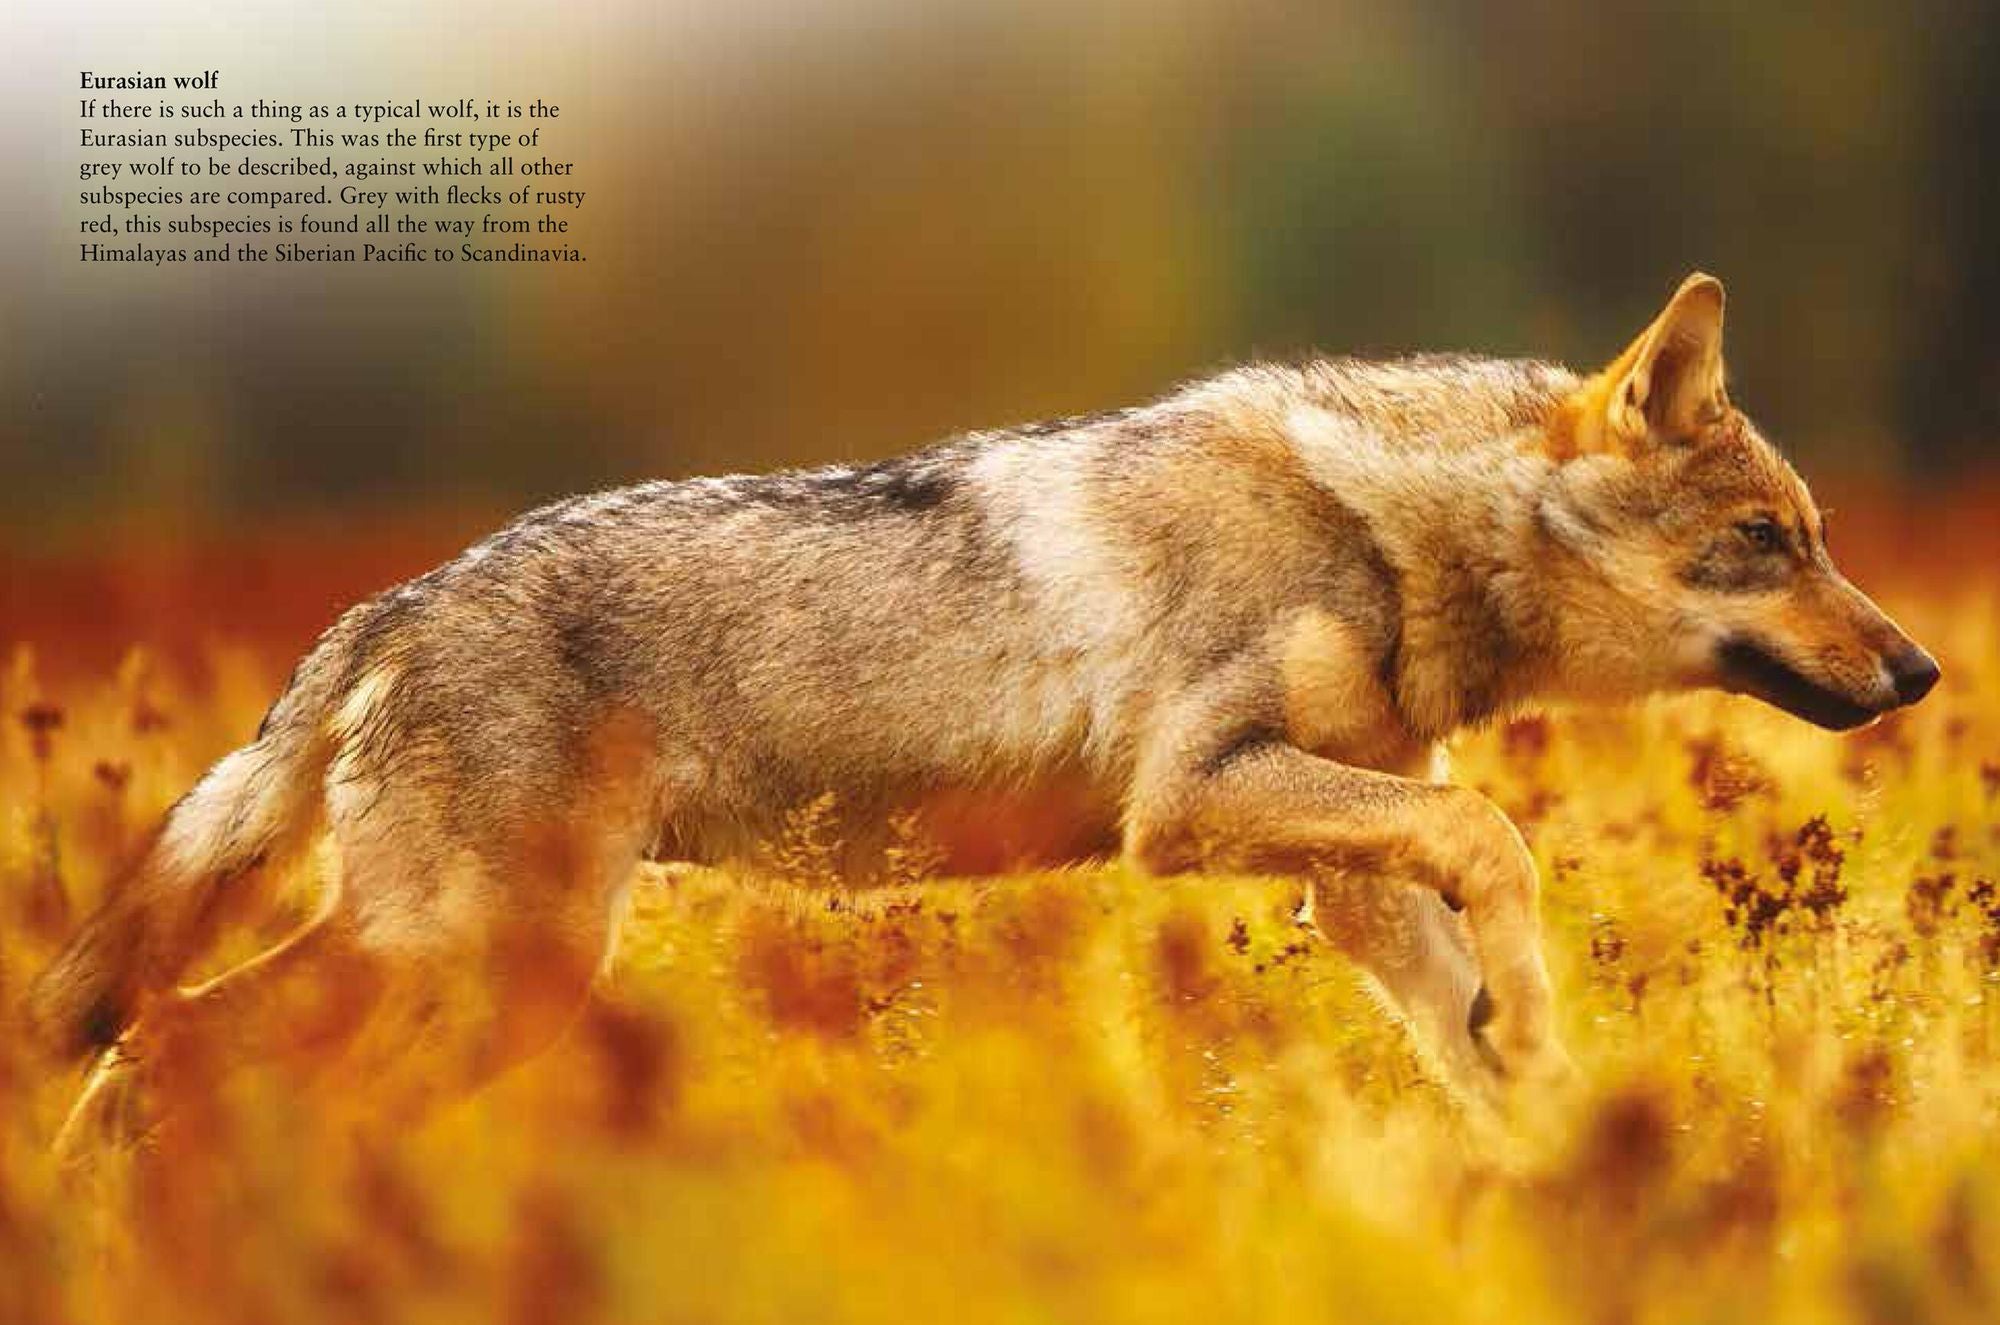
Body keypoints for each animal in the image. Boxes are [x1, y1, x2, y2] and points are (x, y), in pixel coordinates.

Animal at [26, 273, 1939, 1117]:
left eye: (1818, 537)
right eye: (1768, 541)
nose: (1919, 669)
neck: (1379, 529)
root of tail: (385, 608)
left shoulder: (1336, 874)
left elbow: (1465, 987)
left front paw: (1549, 1150)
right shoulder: (1190, 809)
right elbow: (1495, 835)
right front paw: (1542, 1055)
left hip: (481, 982)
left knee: (171, 1045)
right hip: (489, 971)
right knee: (167, 1041)